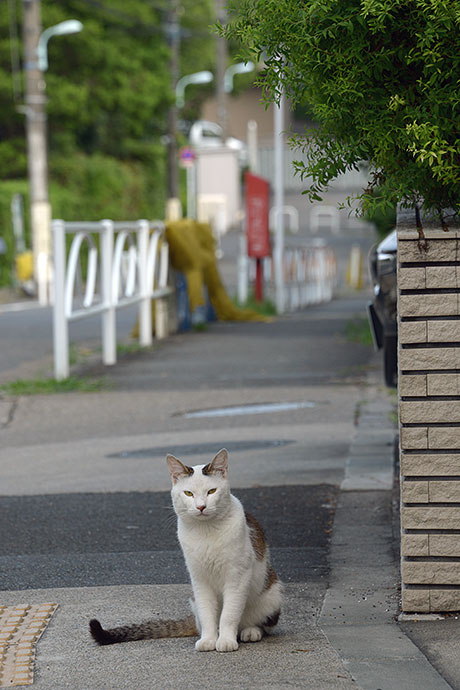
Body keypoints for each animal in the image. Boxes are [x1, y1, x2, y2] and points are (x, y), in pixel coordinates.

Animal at [89, 446, 280, 652]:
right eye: (188, 493)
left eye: (211, 491)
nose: (201, 506)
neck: (206, 531)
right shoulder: (199, 579)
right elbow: (207, 613)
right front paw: (209, 639)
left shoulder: (237, 577)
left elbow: (229, 614)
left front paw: (226, 640)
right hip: (194, 601)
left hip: (271, 594)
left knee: (262, 623)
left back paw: (250, 631)